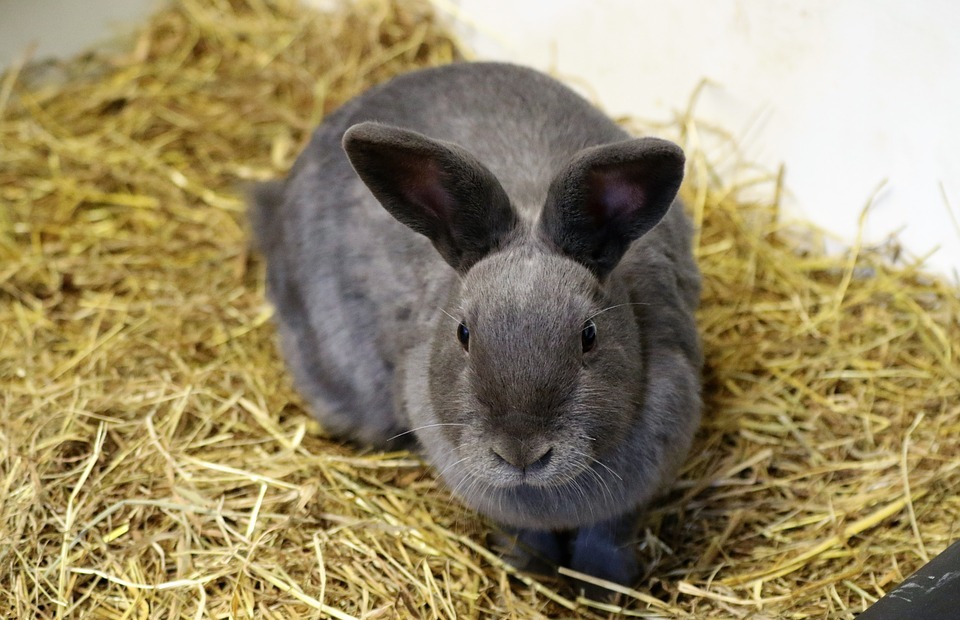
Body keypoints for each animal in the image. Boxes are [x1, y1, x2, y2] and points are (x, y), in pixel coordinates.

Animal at [251, 63, 700, 596]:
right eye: (463, 334)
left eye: (589, 336)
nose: (521, 452)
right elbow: (523, 532)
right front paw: (529, 571)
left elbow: (606, 534)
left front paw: (605, 586)